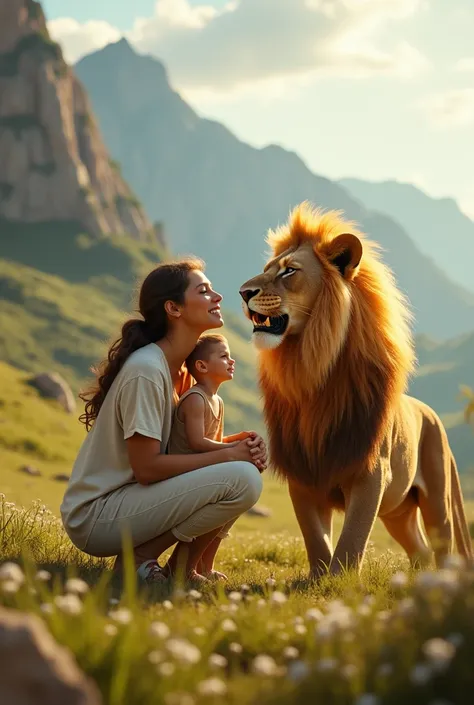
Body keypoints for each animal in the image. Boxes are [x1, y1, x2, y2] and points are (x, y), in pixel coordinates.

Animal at [241, 201, 474, 576]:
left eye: (289, 271)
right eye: (266, 270)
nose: (243, 292)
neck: (309, 368)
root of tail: (430, 412)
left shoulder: (371, 473)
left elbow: (352, 539)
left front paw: (339, 581)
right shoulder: (304, 473)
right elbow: (315, 538)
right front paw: (318, 579)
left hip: (437, 499)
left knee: (443, 545)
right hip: (398, 511)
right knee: (420, 550)